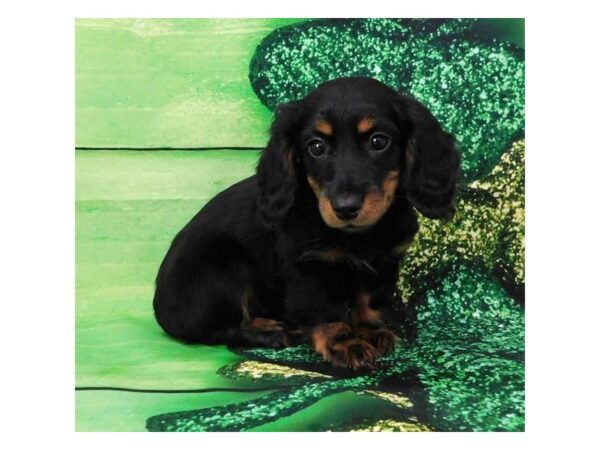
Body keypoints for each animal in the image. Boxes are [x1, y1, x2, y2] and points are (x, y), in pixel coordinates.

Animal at [154, 77, 460, 370]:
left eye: (378, 141)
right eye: (316, 146)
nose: (345, 208)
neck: (356, 237)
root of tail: (160, 306)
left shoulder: (384, 263)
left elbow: (370, 300)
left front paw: (371, 331)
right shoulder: (306, 265)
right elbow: (324, 309)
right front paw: (345, 343)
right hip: (224, 267)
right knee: (216, 329)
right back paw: (270, 331)